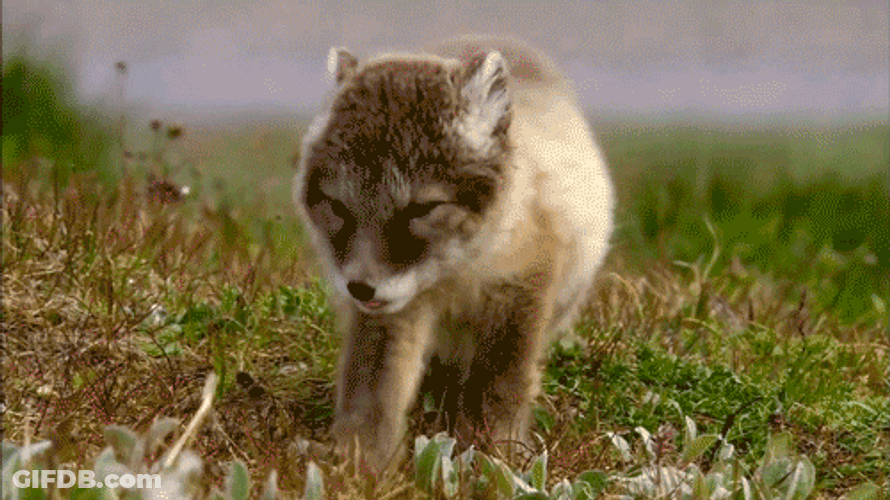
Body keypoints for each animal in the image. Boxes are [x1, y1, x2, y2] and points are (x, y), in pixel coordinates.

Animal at [293, 36, 614, 469]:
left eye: (422, 208)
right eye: (338, 207)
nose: (360, 288)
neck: (458, 274)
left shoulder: (521, 291)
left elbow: (499, 385)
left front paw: (493, 456)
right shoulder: (396, 309)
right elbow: (372, 388)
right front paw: (361, 462)